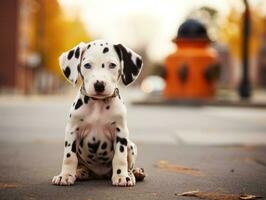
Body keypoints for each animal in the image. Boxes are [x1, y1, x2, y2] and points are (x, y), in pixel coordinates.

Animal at [51, 39, 145, 187]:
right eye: (87, 65)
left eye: (112, 65)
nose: (99, 85)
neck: (98, 105)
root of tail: (99, 174)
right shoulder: (72, 130)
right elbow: (69, 156)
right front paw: (65, 175)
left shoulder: (121, 132)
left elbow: (120, 157)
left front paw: (121, 176)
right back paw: (81, 172)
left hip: (131, 145)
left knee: (129, 164)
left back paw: (134, 173)